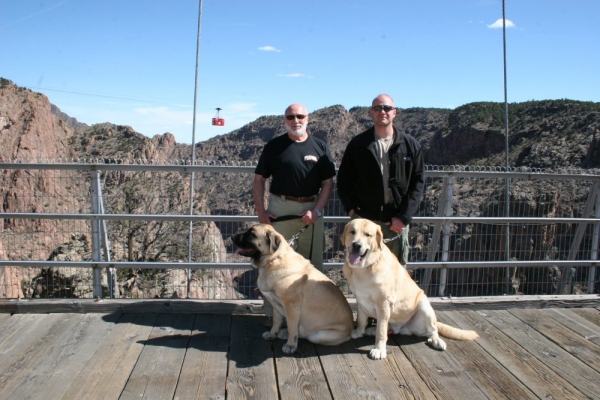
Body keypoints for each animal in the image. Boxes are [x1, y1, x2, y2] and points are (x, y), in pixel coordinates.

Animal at [232, 223, 354, 354]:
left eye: (252, 234)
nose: (232, 236)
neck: (273, 260)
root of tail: (350, 331)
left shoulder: (291, 307)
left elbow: (292, 327)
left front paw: (290, 345)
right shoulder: (276, 304)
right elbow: (276, 321)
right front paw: (272, 334)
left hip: (318, 335)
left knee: (304, 334)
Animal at [342, 219, 478, 360]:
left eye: (368, 235)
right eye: (352, 232)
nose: (356, 245)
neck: (364, 269)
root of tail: (401, 328)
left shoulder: (383, 304)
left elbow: (381, 331)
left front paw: (379, 349)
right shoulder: (361, 300)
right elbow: (361, 320)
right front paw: (359, 332)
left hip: (424, 306)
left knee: (432, 330)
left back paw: (436, 341)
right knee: (389, 328)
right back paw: (371, 330)